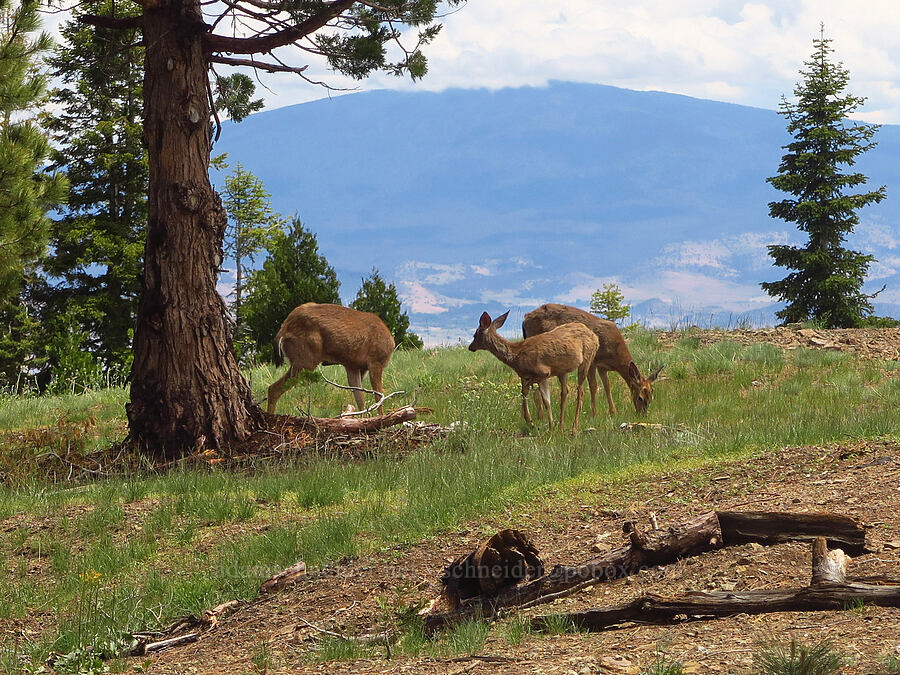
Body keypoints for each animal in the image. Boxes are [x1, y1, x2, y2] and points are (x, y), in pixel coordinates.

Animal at [468, 312, 600, 434]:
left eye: (475, 335)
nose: (470, 347)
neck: (516, 356)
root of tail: (595, 337)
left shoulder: (543, 372)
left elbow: (525, 391)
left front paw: (530, 421)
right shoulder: (541, 377)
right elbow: (546, 401)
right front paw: (551, 426)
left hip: (587, 358)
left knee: (581, 391)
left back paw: (574, 428)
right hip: (563, 370)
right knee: (565, 392)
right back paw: (561, 426)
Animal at [520, 304, 660, 414]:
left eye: (651, 397)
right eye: (640, 397)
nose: (642, 414)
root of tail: (525, 318)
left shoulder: (602, 367)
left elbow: (607, 386)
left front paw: (613, 412)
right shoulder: (593, 360)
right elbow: (594, 386)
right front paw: (594, 413)